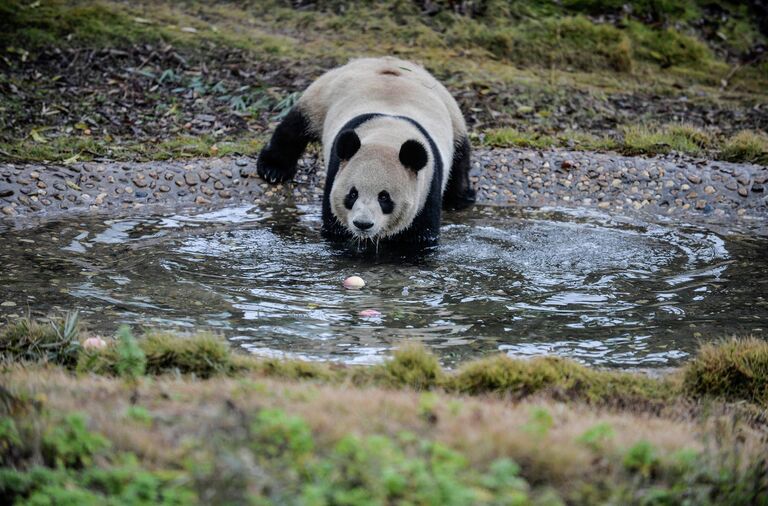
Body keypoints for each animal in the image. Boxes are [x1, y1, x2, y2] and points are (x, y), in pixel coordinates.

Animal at [258, 57, 474, 245]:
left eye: (384, 197)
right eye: (352, 194)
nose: (363, 224)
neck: (388, 135)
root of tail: (386, 59)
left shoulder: (427, 190)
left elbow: (419, 237)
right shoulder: (336, 175)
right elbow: (336, 229)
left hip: (453, 114)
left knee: (460, 157)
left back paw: (461, 197)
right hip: (324, 95)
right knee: (296, 127)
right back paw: (273, 170)